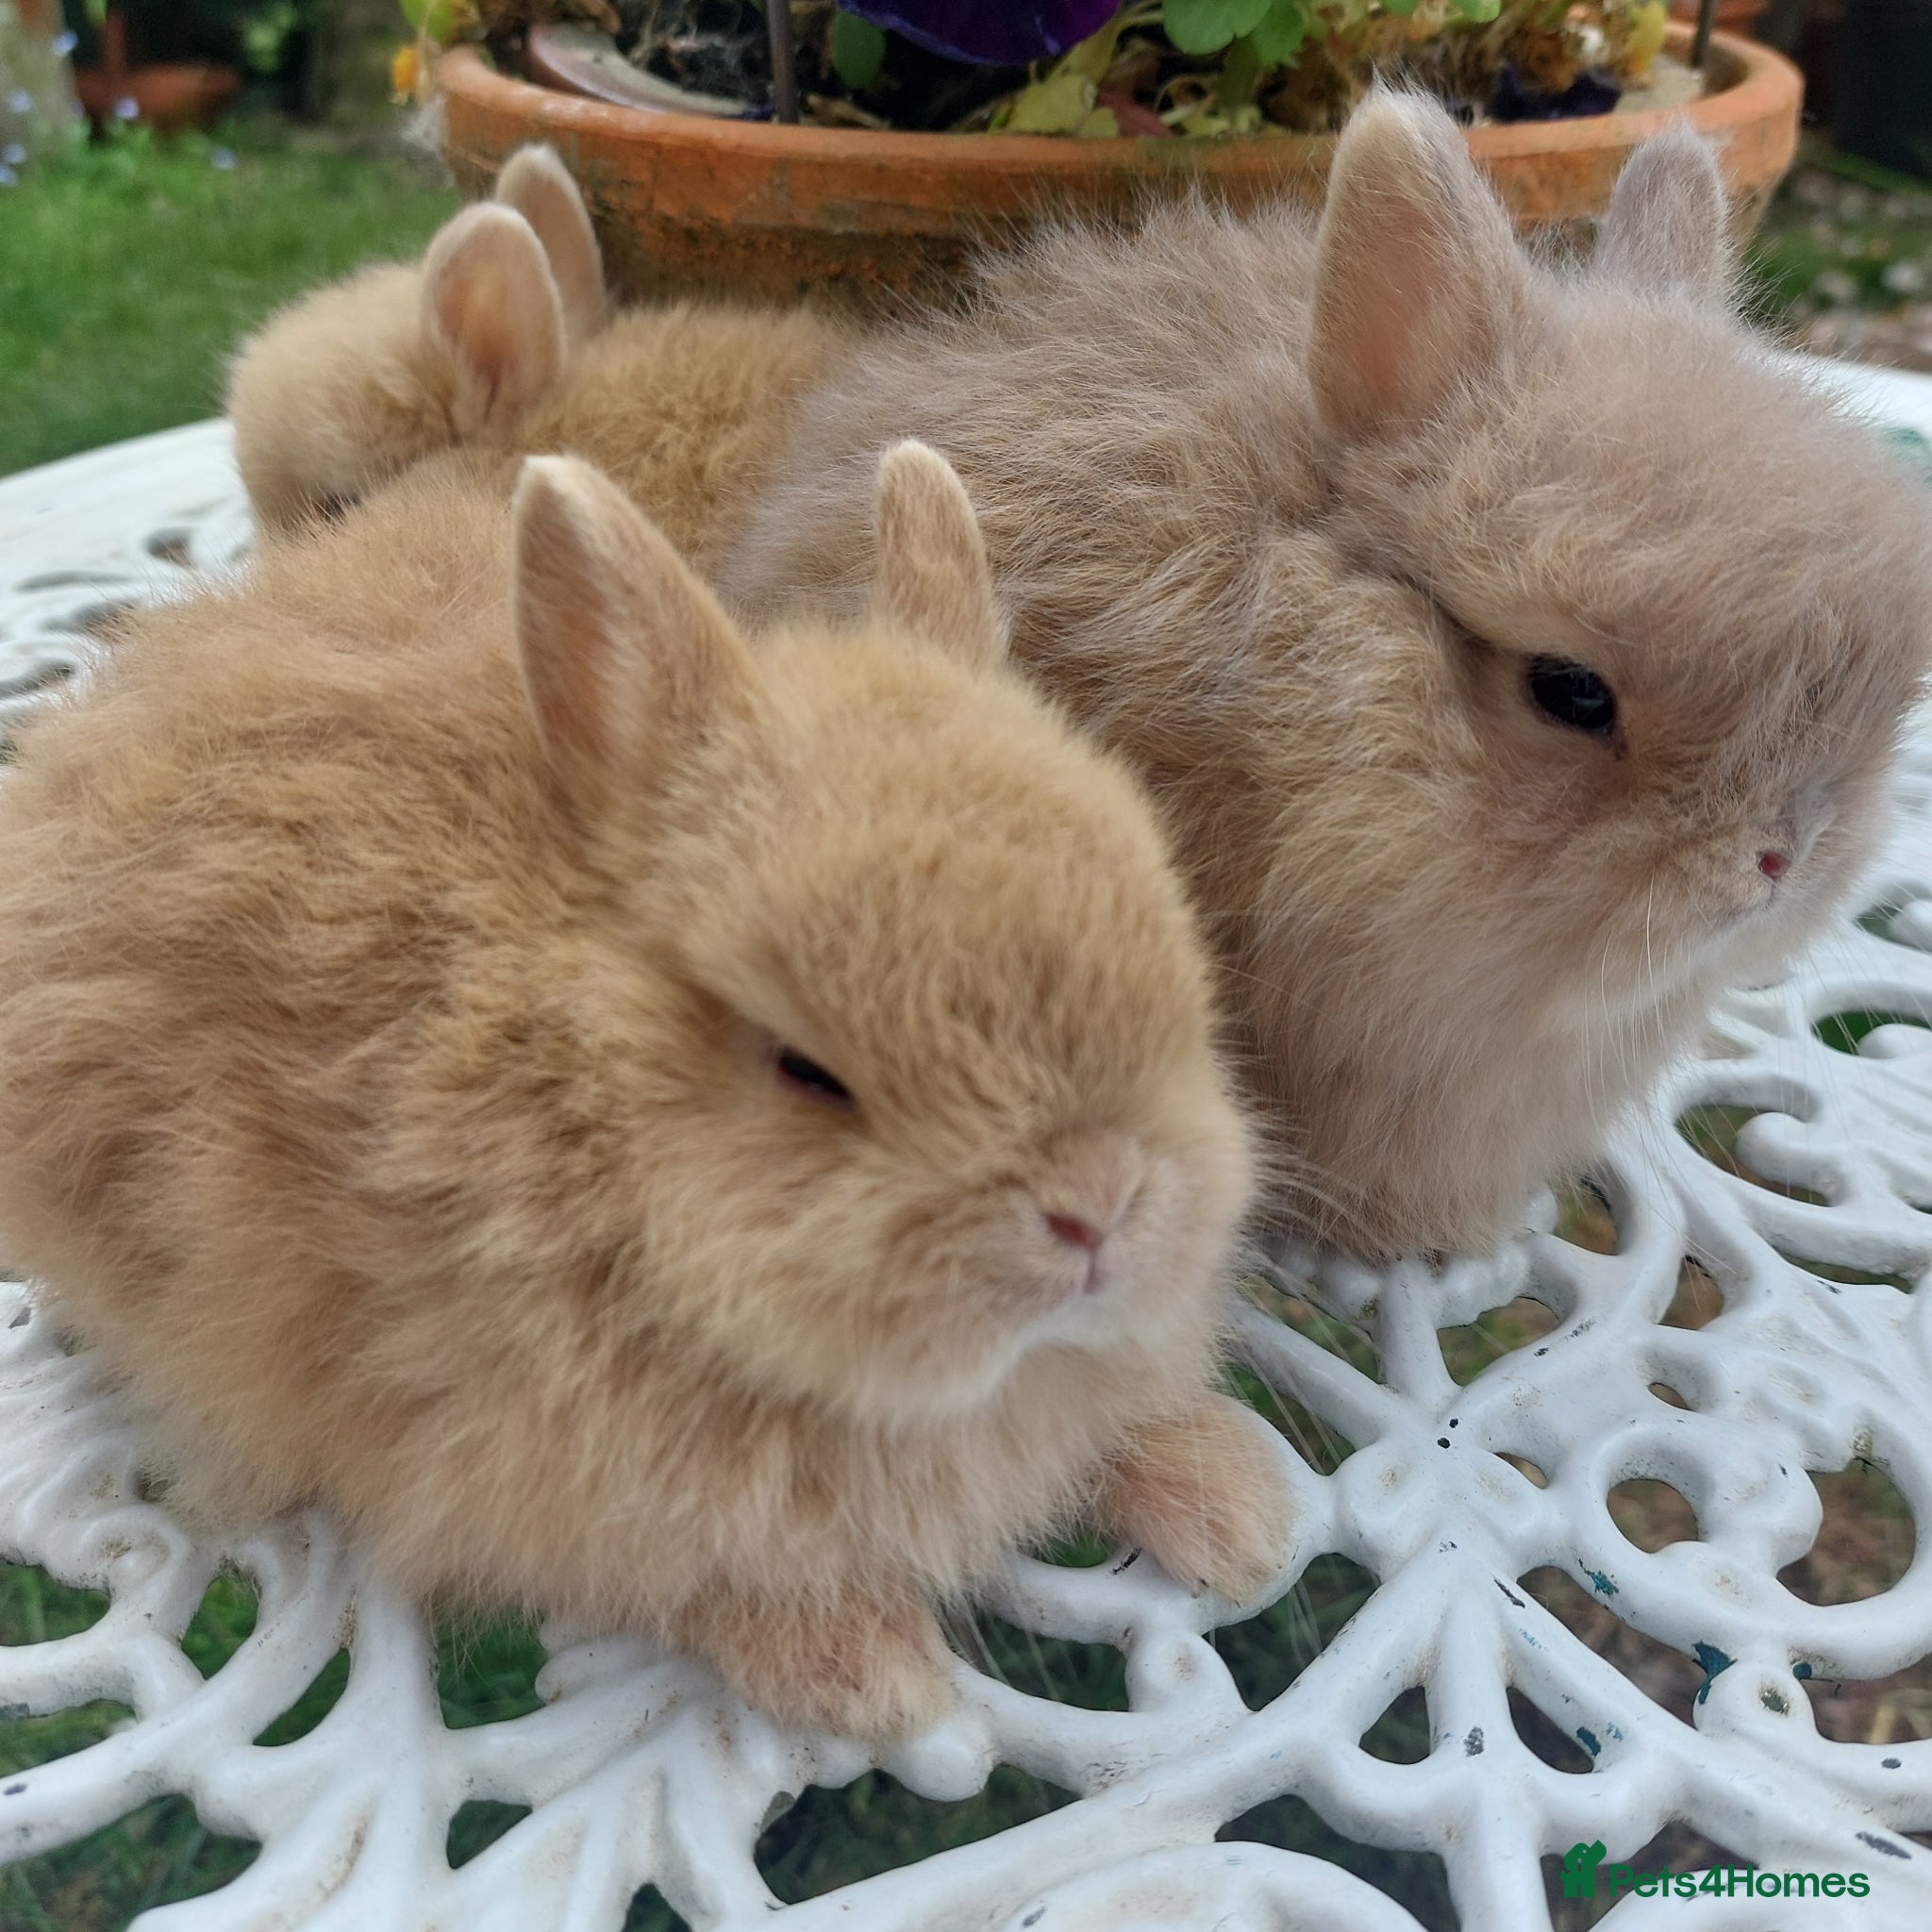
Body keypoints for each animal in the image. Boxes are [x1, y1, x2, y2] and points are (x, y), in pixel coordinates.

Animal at [0, 440, 1284, 1741]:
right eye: (805, 1068)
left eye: (1168, 941)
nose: (1098, 1208)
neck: (581, 1118)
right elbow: (697, 1582)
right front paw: (866, 1673)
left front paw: (1236, 1510)